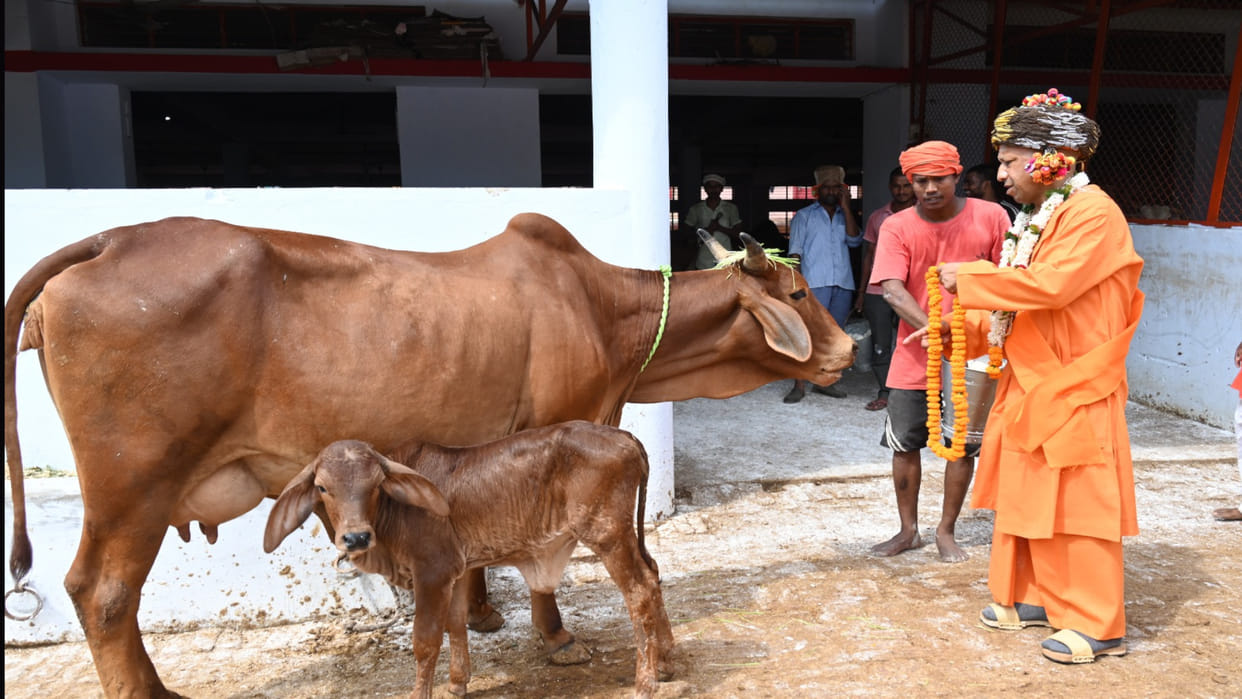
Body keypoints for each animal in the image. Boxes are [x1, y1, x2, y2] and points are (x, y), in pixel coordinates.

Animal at [264, 423, 674, 699]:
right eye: (322, 487)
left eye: (377, 484)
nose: (356, 537)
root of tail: (623, 436)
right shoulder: (456, 570)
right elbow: (456, 623)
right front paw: (457, 684)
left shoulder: (432, 572)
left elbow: (425, 639)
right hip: (625, 536)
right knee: (653, 575)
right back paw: (666, 661)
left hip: (608, 536)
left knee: (638, 592)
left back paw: (645, 681)